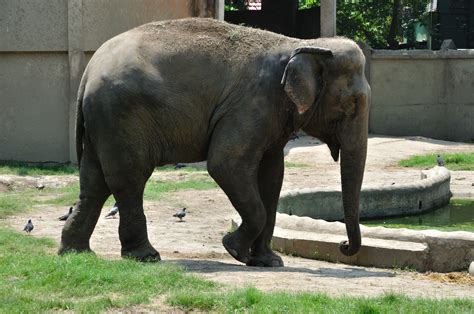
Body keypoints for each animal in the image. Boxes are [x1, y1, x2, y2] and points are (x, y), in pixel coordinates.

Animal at [59, 17, 370, 268]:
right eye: (352, 103)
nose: (343, 246)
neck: (302, 44)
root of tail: (88, 72)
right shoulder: (251, 104)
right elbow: (226, 165)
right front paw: (233, 250)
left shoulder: (271, 115)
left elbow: (272, 176)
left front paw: (268, 262)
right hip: (122, 117)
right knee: (129, 178)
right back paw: (146, 257)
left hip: (103, 123)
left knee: (95, 182)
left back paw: (76, 253)